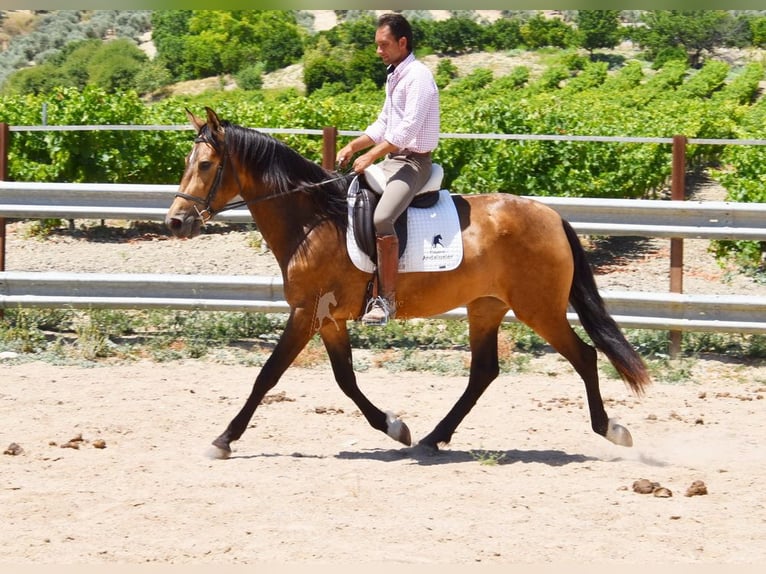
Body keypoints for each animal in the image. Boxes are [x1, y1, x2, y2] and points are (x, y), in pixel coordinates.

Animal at [165, 107, 652, 460]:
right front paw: (395, 427)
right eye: (186, 163)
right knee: (484, 371)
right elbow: (345, 379)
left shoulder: (306, 313)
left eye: (205, 165)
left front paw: (224, 439)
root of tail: (551, 215)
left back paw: (612, 429)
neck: (312, 219)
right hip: (486, 306)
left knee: (584, 357)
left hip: (539, 308)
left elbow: (266, 376)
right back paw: (433, 437)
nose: (175, 222)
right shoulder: (326, 318)